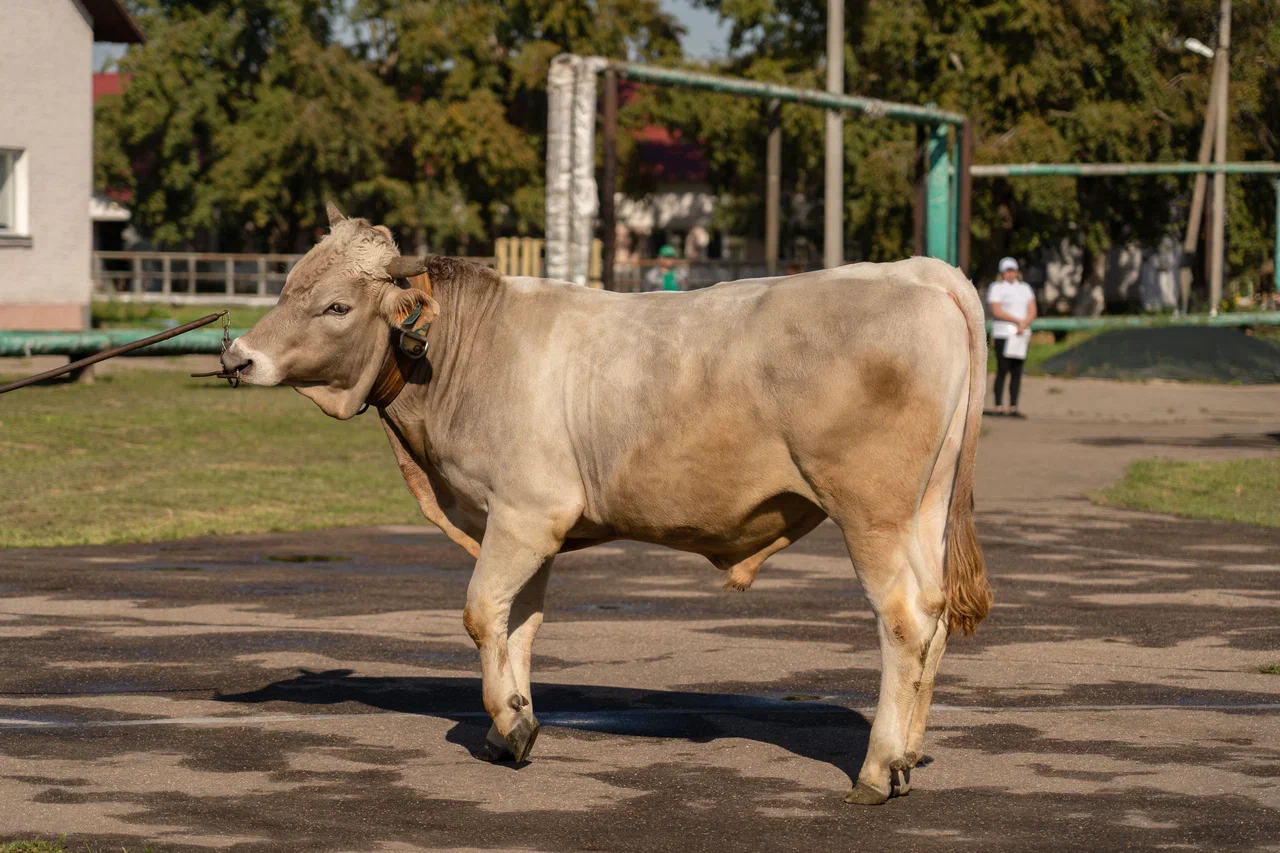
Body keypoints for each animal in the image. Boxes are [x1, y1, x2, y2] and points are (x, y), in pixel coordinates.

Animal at [225, 202, 993, 799]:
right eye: (286, 285)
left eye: (336, 305)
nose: (236, 356)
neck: (464, 356)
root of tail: (919, 270)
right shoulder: (525, 525)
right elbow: (519, 624)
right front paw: (515, 723)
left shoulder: (526, 513)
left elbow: (480, 612)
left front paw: (509, 723)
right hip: (925, 507)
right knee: (933, 614)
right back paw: (909, 753)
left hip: (872, 512)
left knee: (903, 619)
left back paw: (877, 769)